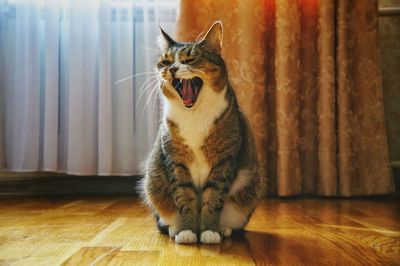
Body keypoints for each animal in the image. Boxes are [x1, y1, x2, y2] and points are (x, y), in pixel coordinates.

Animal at [139, 21, 264, 245]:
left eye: (190, 59)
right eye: (165, 61)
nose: (172, 68)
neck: (194, 114)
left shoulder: (224, 161)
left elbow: (214, 197)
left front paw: (209, 232)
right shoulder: (176, 161)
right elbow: (184, 196)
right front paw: (186, 231)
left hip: (250, 188)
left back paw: (223, 229)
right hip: (153, 182)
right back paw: (175, 229)